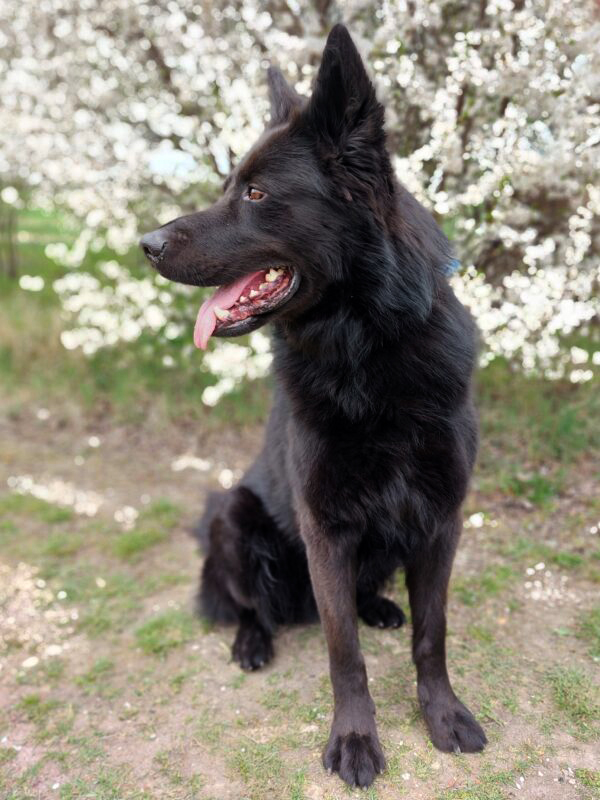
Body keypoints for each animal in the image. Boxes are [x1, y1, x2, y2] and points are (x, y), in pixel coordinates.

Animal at [140, 24, 486, 789]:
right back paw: (252, 641)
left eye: (256, 192)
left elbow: (433, 634)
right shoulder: (324, 526)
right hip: (232, 511)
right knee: (252, 605)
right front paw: (356, 739)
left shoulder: (440, 520)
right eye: (228, 187)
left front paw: (442, 714)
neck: (367, 351)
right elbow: (342, 652)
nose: (145, 244)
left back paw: (379, 604)